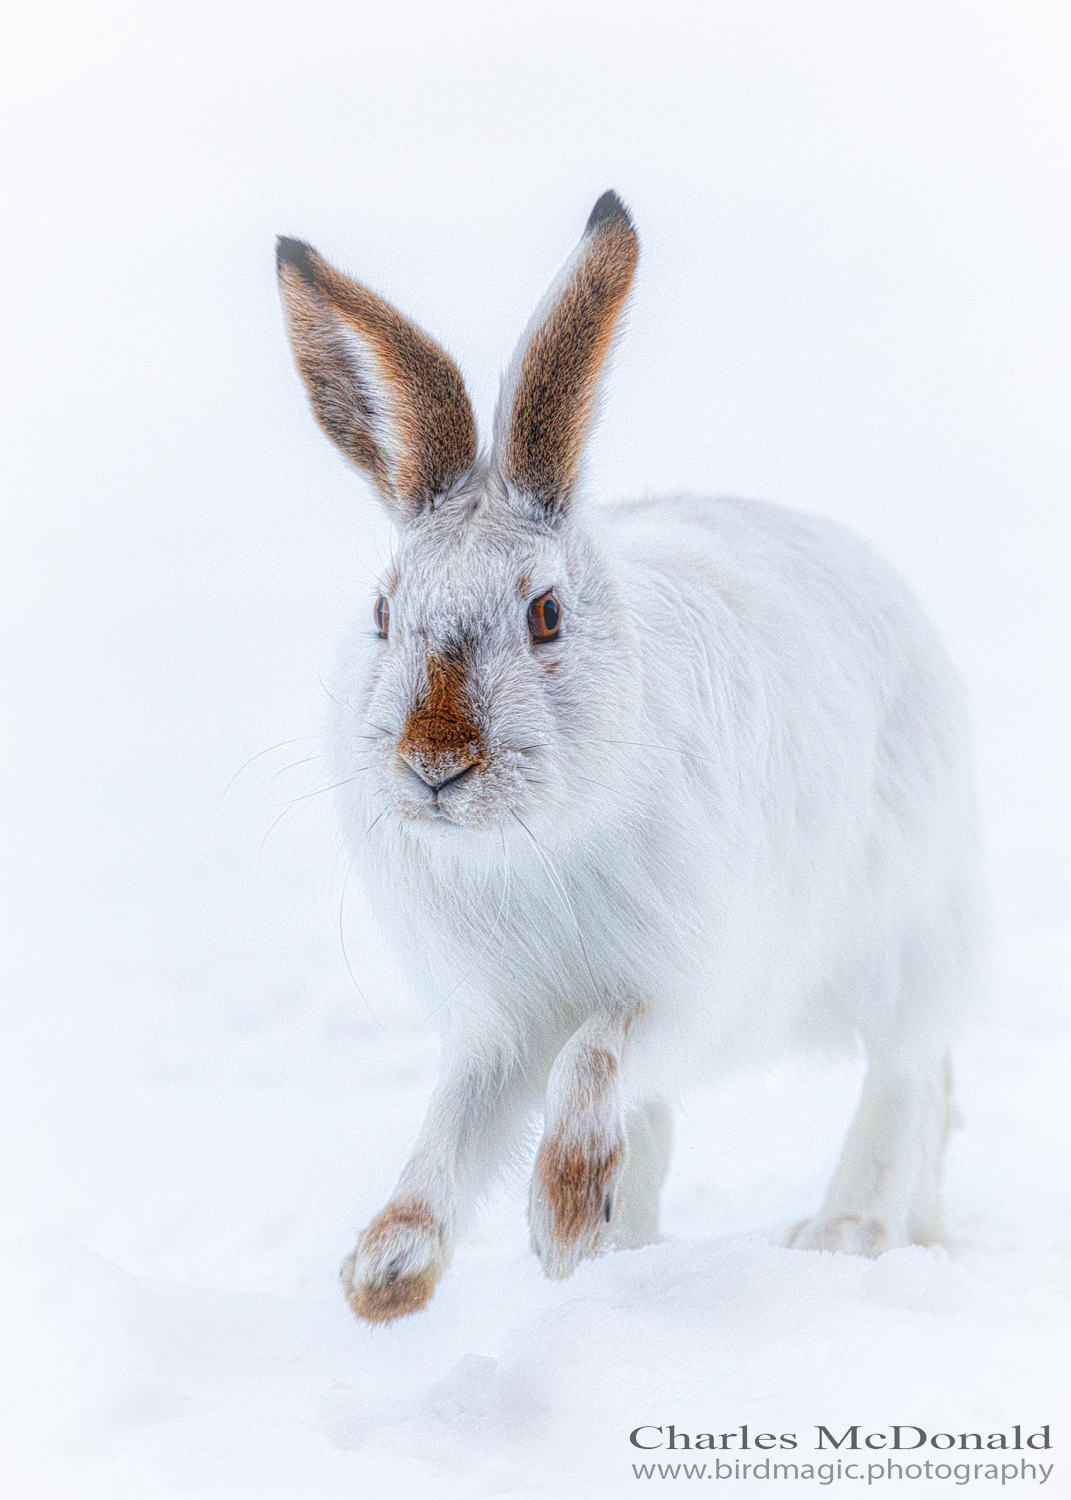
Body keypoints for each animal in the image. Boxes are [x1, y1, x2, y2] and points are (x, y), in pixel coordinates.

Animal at [276, 190, 986, 1325]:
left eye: (547, 614)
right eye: (383, 614)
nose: (435, 764)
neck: (525, 840)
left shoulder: (679, 987)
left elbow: (595, 1058)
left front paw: (563, 1213)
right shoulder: (493, 1024)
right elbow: (453, 1122)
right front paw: (388, 1271)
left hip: (902, 928)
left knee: (909, 1075)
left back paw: (846, 1236)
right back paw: (634, 1251)